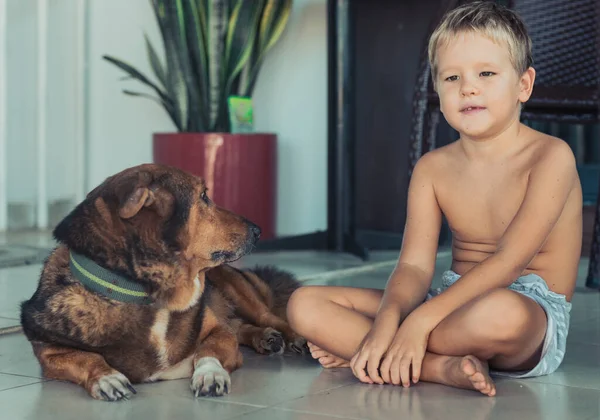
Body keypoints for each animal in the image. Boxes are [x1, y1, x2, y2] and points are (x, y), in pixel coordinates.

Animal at [19, 163, 304, 400]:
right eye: (204, 196)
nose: (258, 231)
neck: (148, 292)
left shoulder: (218, 332)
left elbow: (209, 350)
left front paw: (210, 374)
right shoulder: (49, 352)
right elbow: (85, 359)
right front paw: (107, 378)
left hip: (235, 286)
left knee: (267, 317)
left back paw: (288, 336)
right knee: (239, 325)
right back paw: (264, 337)